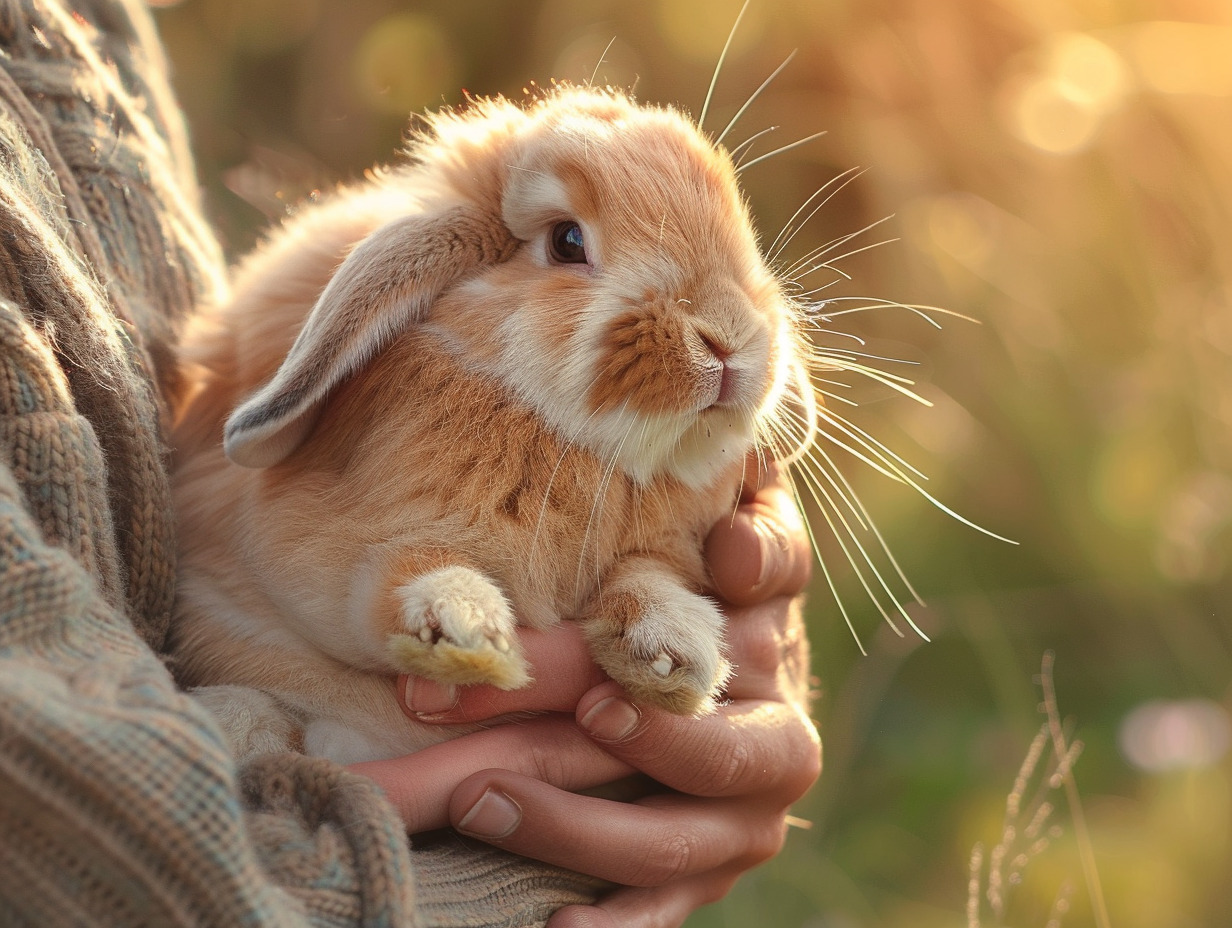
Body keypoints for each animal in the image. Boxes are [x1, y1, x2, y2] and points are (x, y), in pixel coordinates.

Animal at [166, 85, 818, 769]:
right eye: (566, 241)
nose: (730, 340)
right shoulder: (311, 552)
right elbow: (386, 576)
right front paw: (466, 627)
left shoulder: (667, 551)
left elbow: (649, 574)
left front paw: (674, 654)